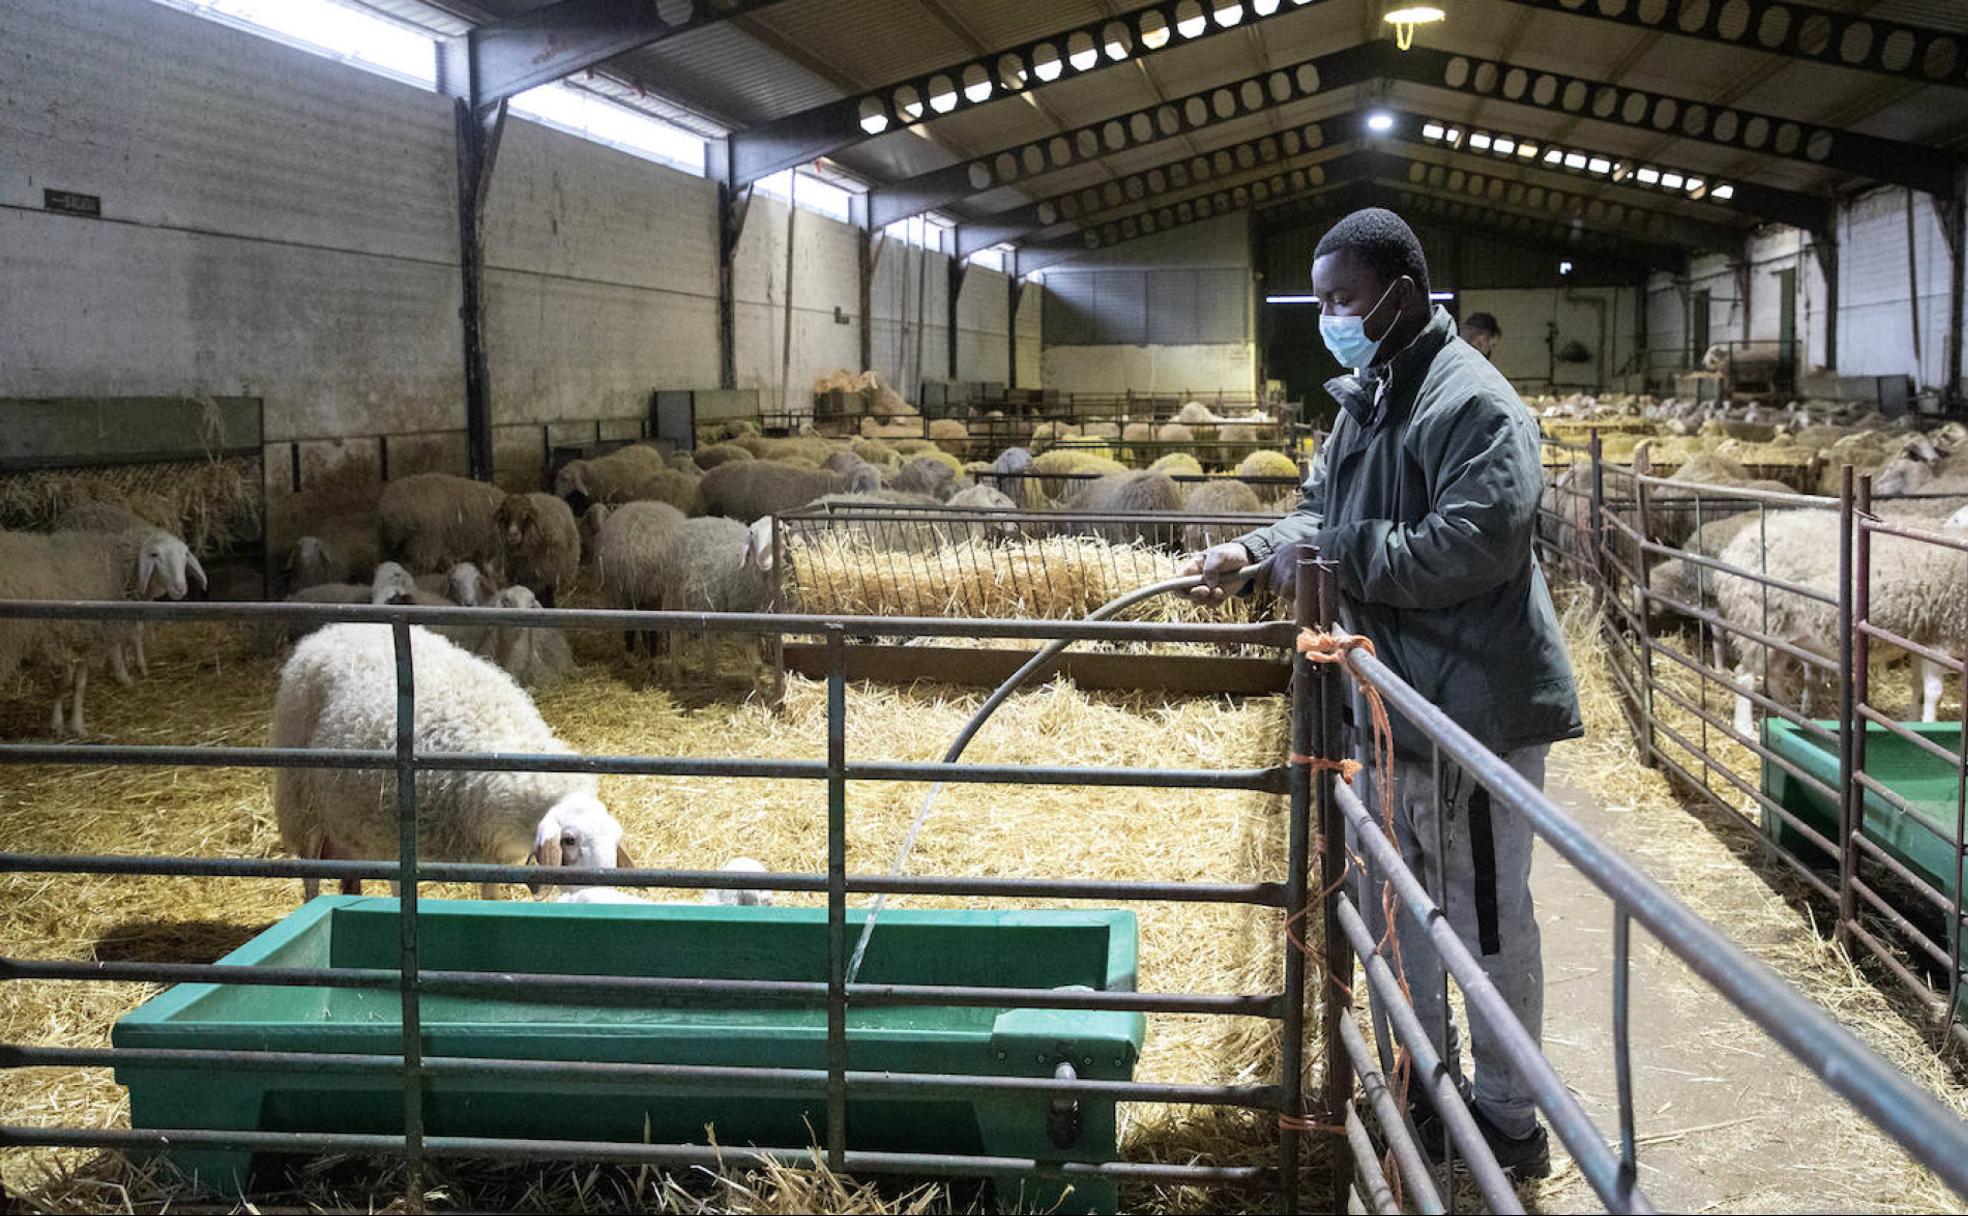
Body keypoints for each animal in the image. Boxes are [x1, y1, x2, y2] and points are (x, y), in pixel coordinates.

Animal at [271, 625, 629, 901]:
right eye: (568, 840)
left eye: (615, 837)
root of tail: (327, 632)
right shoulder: (394, 839)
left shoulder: (487, 852)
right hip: (301, 802)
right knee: (310, 871)